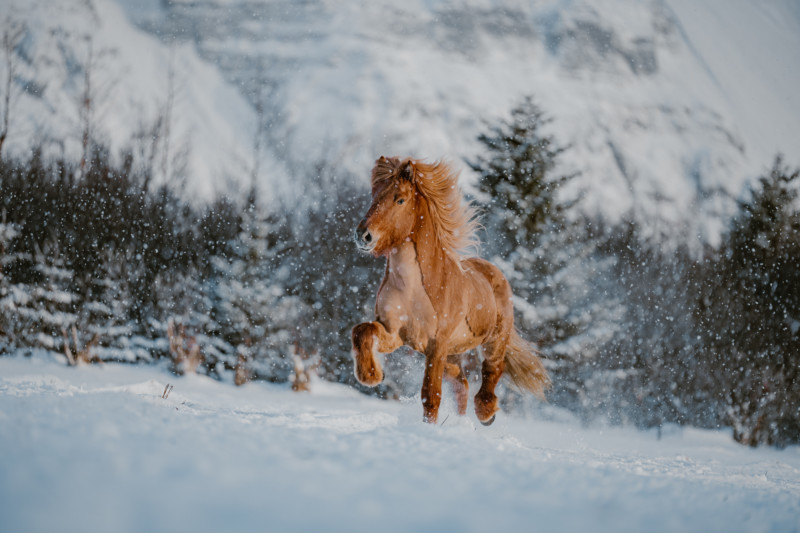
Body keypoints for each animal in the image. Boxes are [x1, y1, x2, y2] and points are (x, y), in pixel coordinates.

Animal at [350, 155, 552, 424]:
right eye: (375, 196)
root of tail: (494, 273)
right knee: (461, 386)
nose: (363, 235)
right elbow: (362, 330)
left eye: (400, 199)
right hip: (453, 355)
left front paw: (429, 426)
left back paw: (486, 413)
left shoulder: (437, 344)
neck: (411, 288)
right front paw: (371, 376)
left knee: (492, 368)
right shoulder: (395, 333)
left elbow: (430, 395)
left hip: (492, 339)